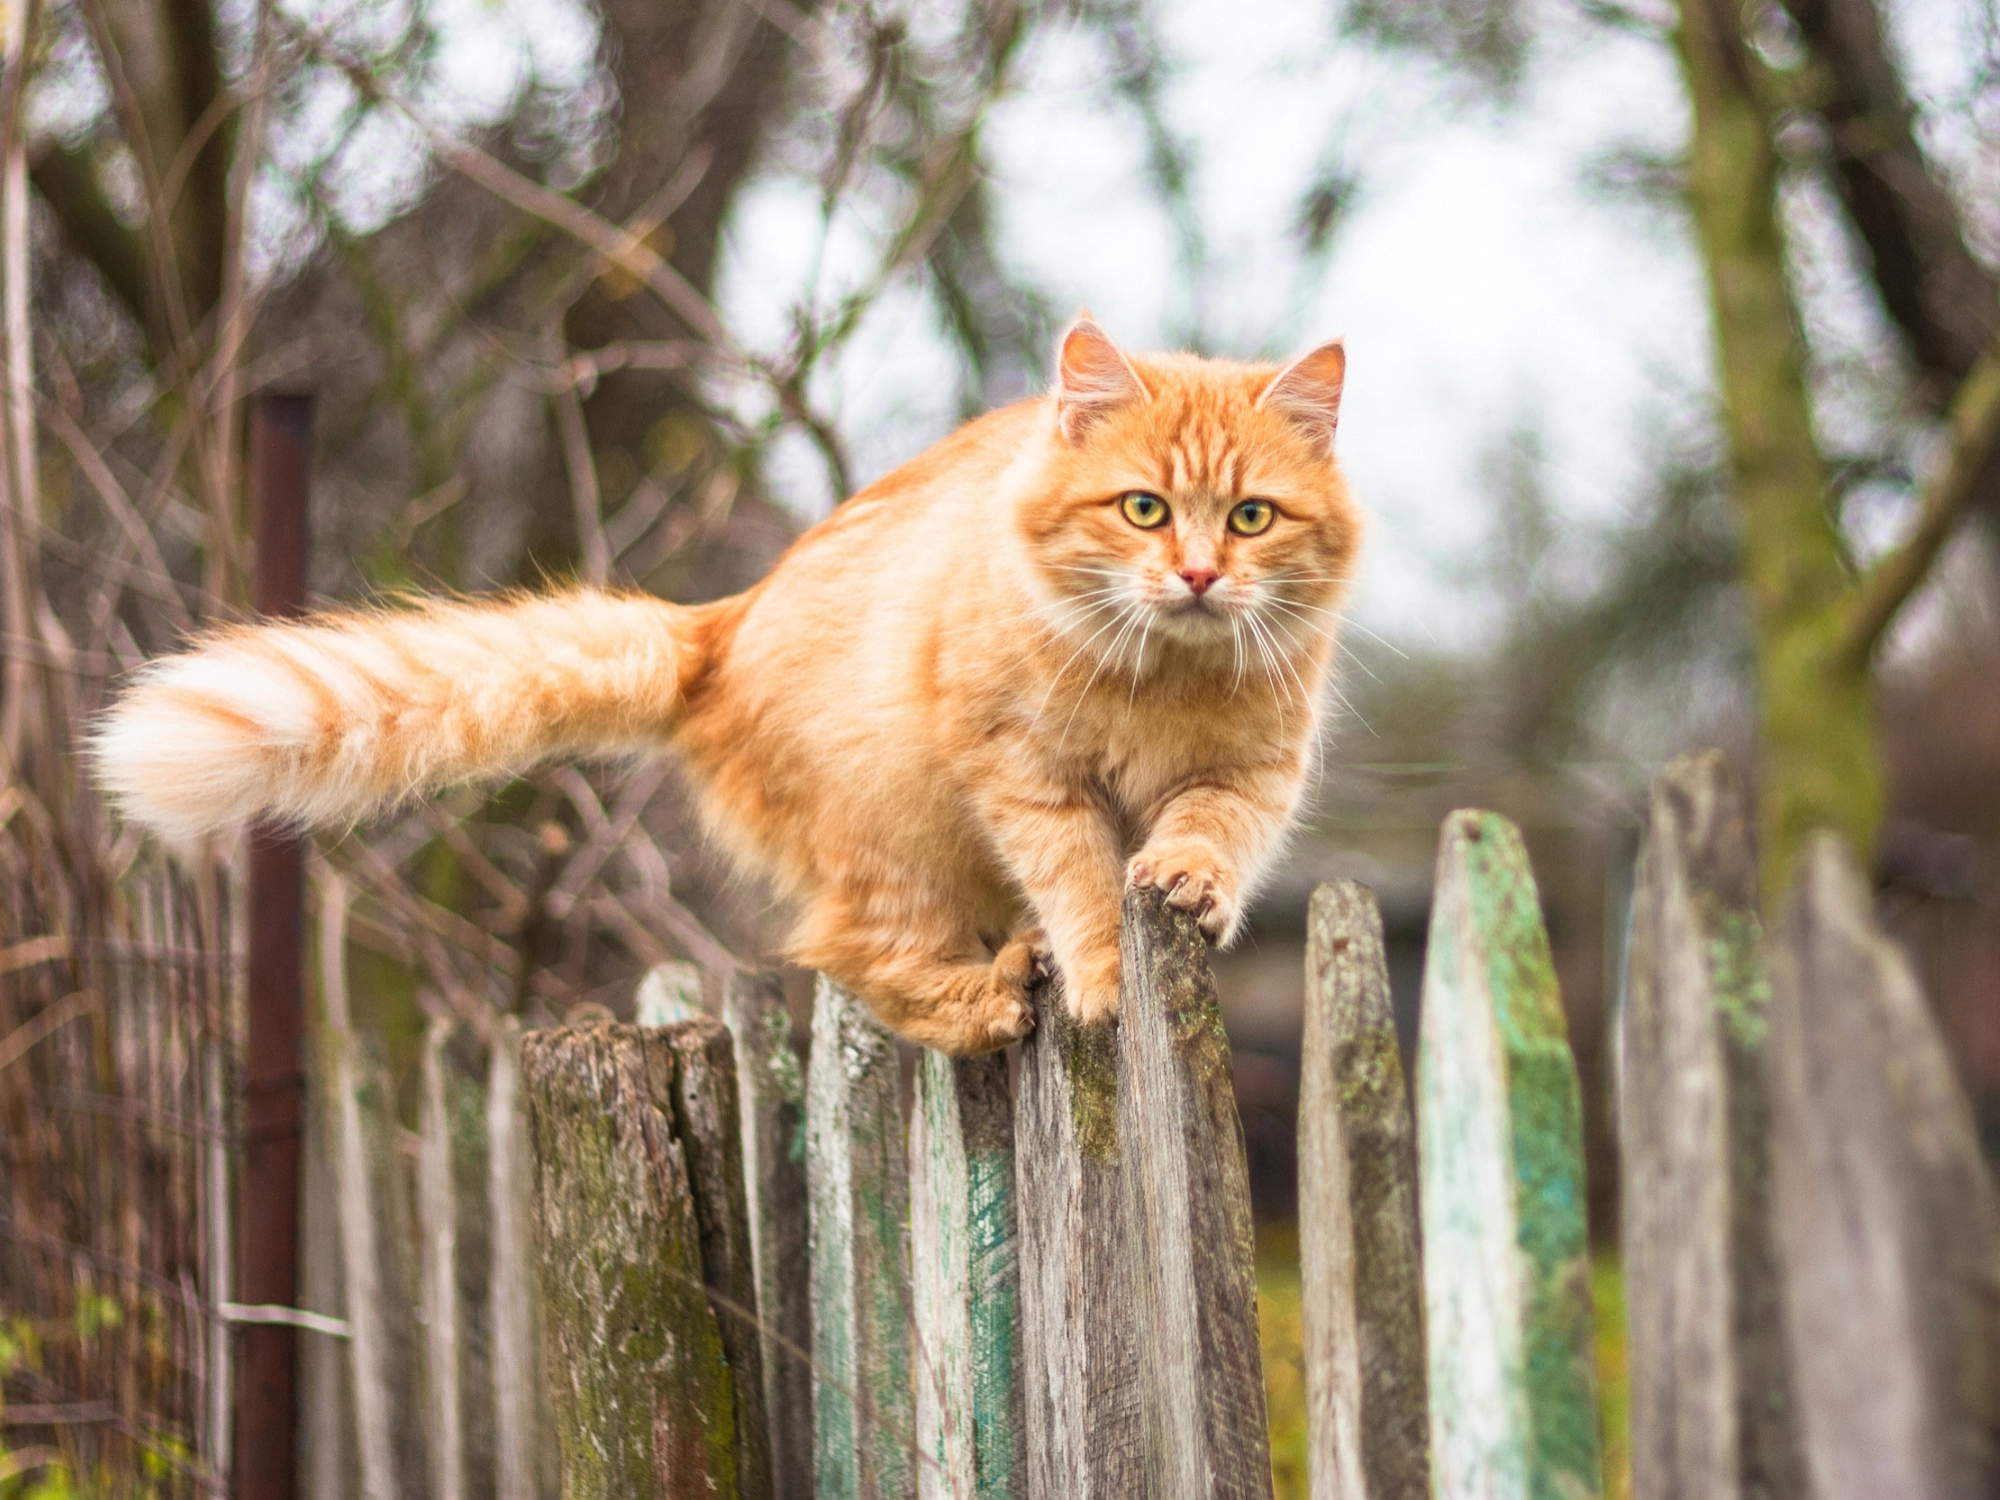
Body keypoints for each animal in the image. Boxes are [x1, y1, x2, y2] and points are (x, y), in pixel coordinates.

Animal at [101, 318, 1368, 1056]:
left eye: (1249, 518)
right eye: (1142, 510)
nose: (1197, 575)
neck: (1161, 678)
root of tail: (723, 623)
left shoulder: (1249, 775)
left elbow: (1201, 837)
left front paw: (1186, 884)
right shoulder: (1021, 772)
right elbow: (1081, 885)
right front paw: (1103, 977)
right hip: (888, 838)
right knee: (854, 959)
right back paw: (992, 999)